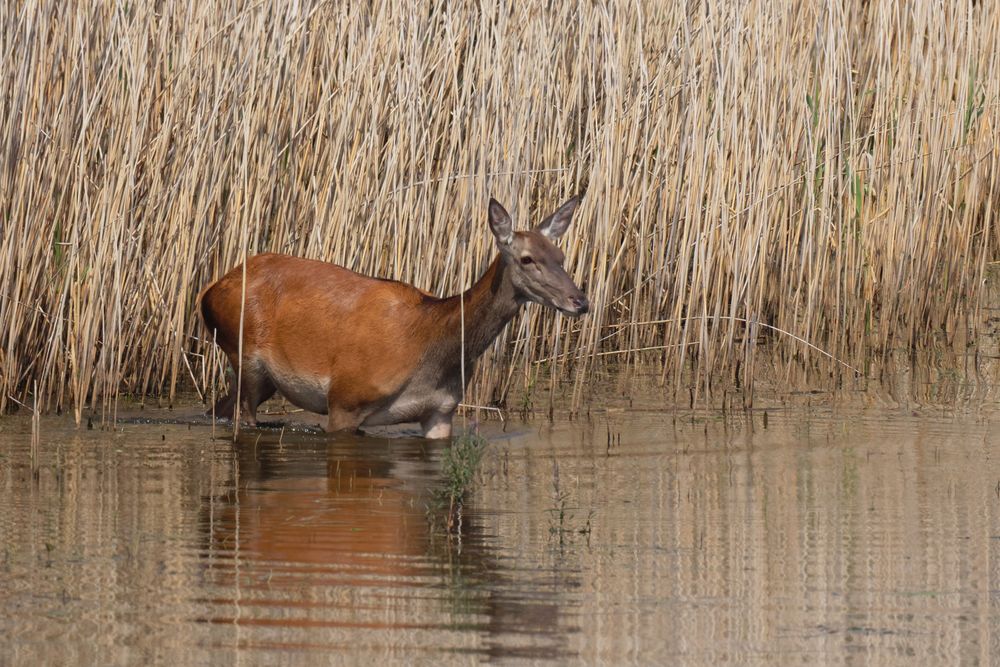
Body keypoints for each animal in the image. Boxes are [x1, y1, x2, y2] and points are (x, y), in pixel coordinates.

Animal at [199, 196, 588, 440]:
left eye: (561, 255)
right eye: (527, 258)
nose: (580, 301)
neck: (430, 342)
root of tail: (210, 291)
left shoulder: (441, 412)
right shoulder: (345, 399)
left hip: (266, 379)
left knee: (217, 409)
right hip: (243, 355)